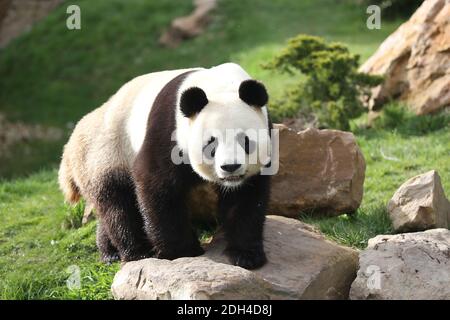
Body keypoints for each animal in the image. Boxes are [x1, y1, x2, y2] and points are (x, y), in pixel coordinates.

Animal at [58, 62, 272, 270]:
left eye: (245, 141)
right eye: (211, 144)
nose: (230, 167)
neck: (220, 86)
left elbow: (246, 199)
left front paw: (246, 255)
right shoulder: (167, 131)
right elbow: (158, 186)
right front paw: (183, 252)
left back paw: (110, 252)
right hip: (107, 154)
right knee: (118, 206)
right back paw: (136, 252)